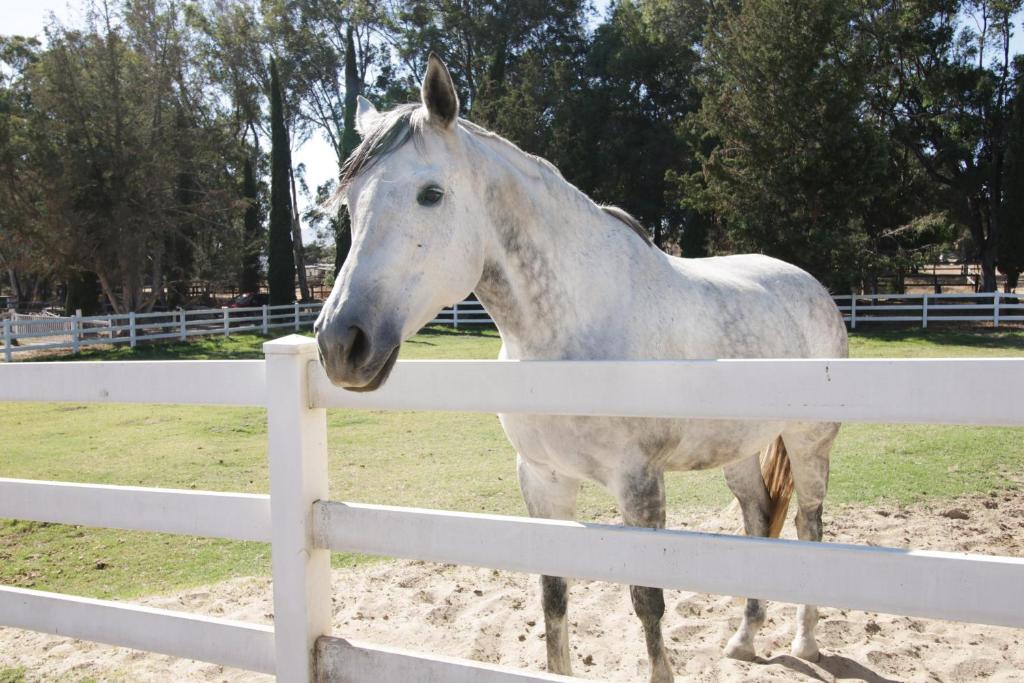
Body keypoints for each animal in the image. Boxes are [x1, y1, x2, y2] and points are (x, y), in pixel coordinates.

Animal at [314, 54, 848, 682]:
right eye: (350, 203)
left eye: (431, 194)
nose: (341, 343)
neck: (567, 334)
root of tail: (811, 286)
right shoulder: (543, 480)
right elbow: (553, 596)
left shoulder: (638, 483)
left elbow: (648, 603)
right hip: (738, 448)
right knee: (758, 517)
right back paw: (743, 638)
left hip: (809, 444)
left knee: (809, 525)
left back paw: (807, 644)